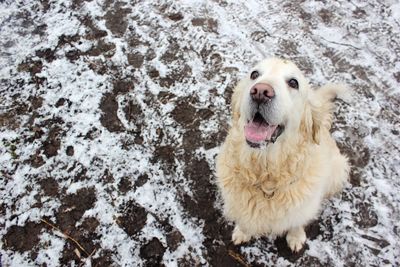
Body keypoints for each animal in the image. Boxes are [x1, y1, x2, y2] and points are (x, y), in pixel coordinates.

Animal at [216, 57, 350, 252]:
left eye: (293, 83)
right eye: (254, 74)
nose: (260, 92)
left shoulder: (304, 205)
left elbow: (297, 222)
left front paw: (296, 237)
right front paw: (242, 231)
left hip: (339, 169)